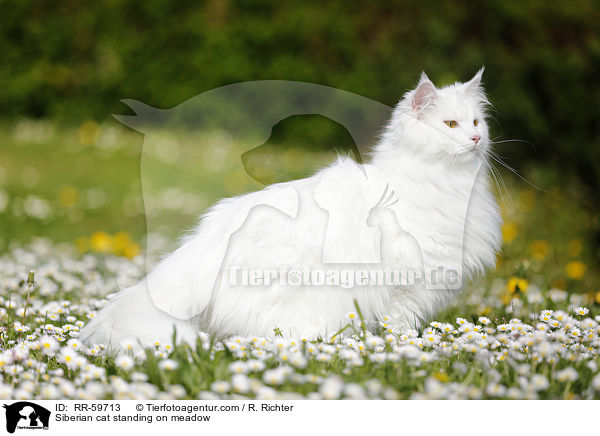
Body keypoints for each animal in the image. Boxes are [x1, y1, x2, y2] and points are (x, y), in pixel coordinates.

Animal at [79, 68, 502, 348]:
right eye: (451, 124)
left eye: (476, 122)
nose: (475, 139)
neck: (445, 183)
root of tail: (201, 247)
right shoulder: (407, 283)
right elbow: (399, 324)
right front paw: (405, 348)